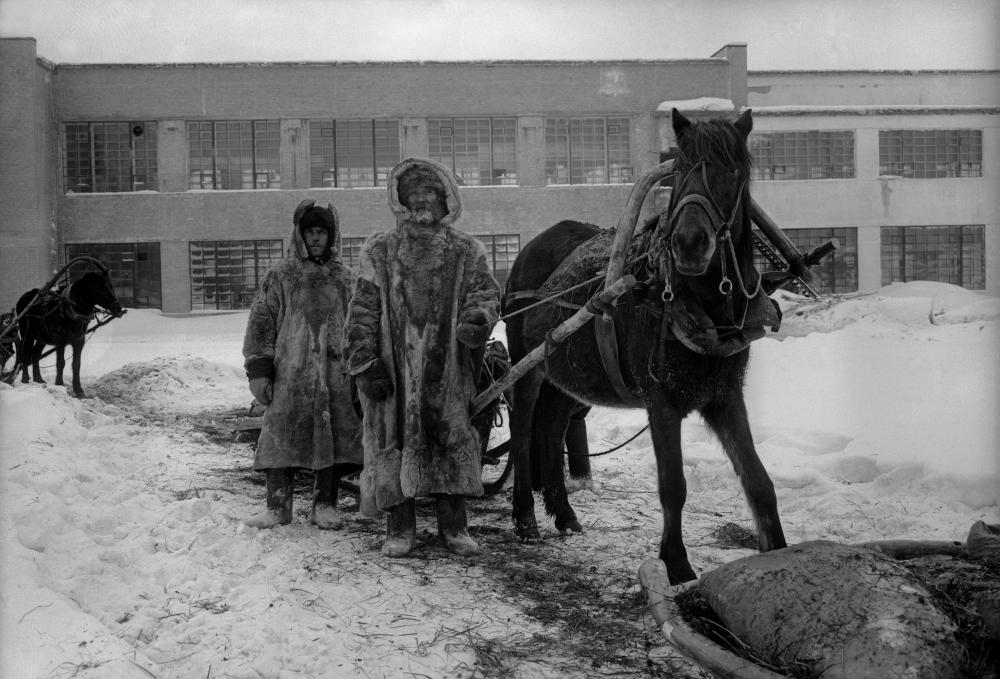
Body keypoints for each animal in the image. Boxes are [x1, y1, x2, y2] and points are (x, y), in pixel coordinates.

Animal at [15, 268, 123, 398]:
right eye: (98, 288)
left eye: (110, 285)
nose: (118, 307)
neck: (72, 312)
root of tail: (23, 297)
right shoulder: (59, 339)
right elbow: (60, 363)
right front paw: (60, 385)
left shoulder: (79, 340)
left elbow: (76, 365)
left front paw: (79, 390)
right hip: (27, 333)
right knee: (25, 354)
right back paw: (25, 379)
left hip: (42, 337)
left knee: (35, 354)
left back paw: (39, 379)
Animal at [508, 107, 788, 584]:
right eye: (680, 169)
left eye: (733, 169)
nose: (689, 243)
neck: (702, 305)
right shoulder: (661, 400)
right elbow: (673, 486)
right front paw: (675, 562)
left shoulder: (725, 396)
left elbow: (758, 479)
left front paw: (779, 549)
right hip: (528, 367)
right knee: (525, 430)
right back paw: (525, 518)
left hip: (567, 370)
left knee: (552, 428)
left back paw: (564, 513)